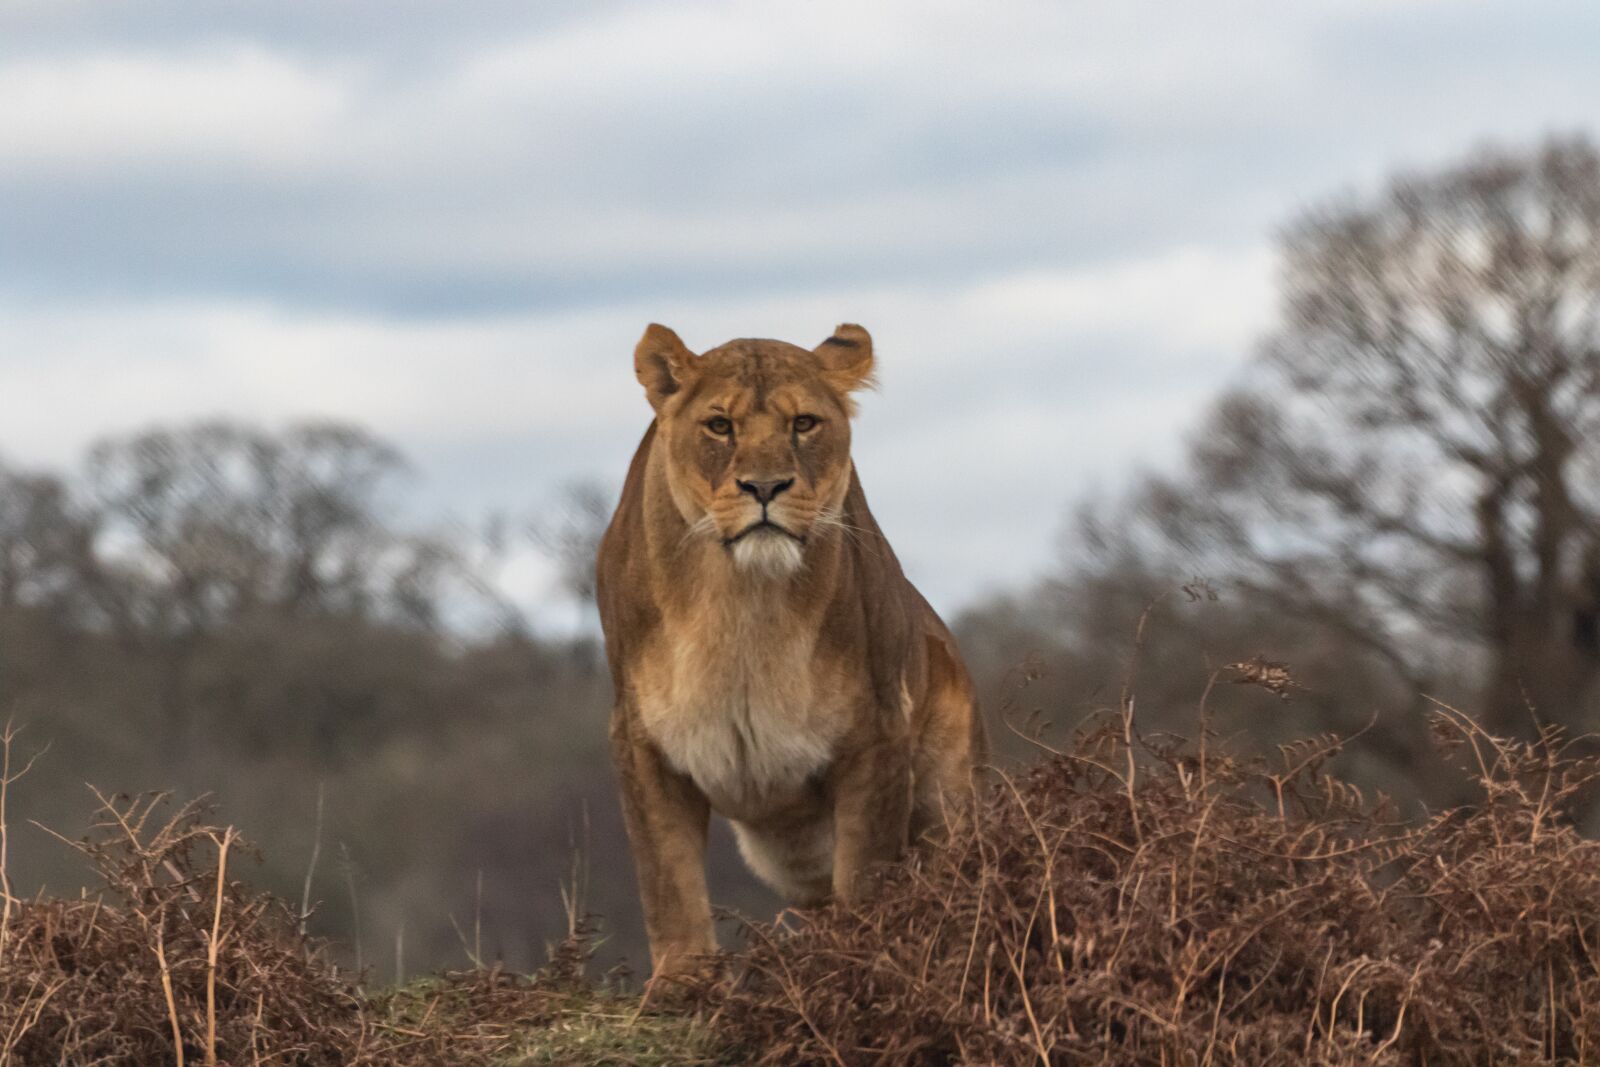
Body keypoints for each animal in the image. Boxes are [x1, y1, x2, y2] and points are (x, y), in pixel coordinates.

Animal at [596, 322, 985, 981]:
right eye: (719, 425)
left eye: (803, 423)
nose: (765, 487)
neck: (742, 601)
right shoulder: (643, 742)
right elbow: (669, 888)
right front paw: (682, 986)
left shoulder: (877, 732)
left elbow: (866, 879)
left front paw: (858, 965)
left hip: (947, 796)